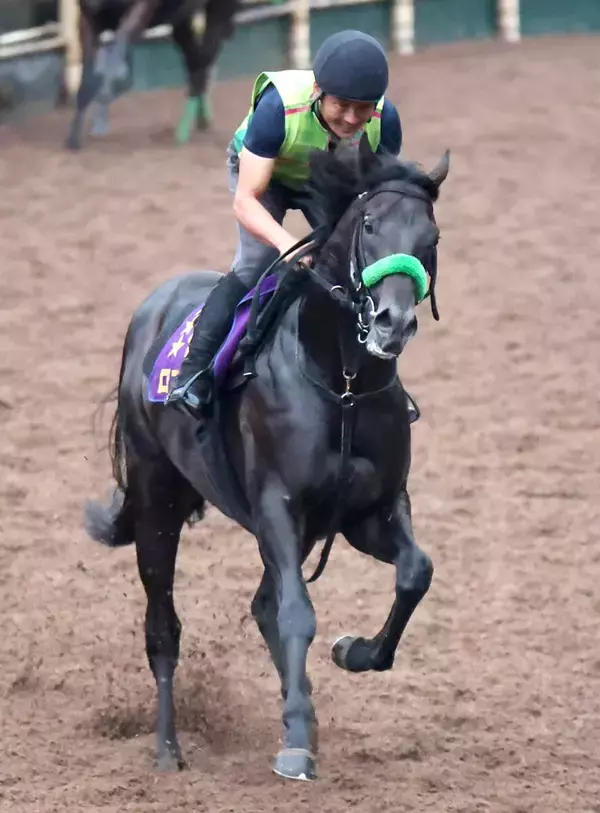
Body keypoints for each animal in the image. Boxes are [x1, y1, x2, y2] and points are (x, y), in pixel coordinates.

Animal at [65, 0, 238, 150]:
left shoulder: (141, 8)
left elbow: (116, 64)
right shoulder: (88, 16)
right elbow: (89, 77)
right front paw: (77, 136)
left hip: (218, 10)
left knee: (205, 58)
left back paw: (183, 131)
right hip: (182, 20)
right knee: (195, 60)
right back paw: (200, 120)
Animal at [83, 134, 450, 781]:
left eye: (430, 237)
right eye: (370, 225)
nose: (394, 322)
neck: (342, 384)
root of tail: (151, 310)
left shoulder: (369, 511)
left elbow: (415, 571)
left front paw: (353, 653)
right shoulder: (277, 505)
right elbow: (297, 611)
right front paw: (296, 741)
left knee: (260, 605)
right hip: (158, 501)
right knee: (163, 626)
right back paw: (167, 748)